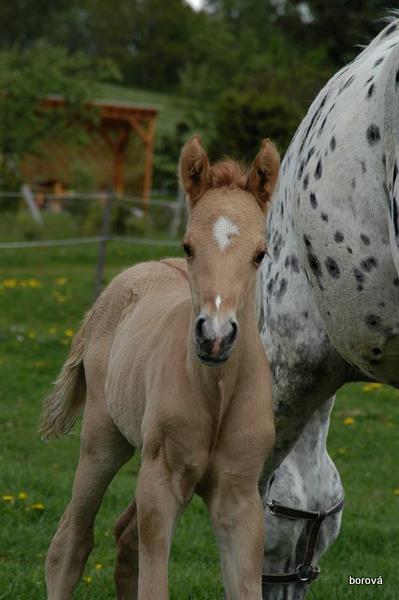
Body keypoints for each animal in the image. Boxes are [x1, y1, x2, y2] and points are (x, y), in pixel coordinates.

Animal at [42, 136, 280, 600]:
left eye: (260, 254)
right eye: (188, 246)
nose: (215, 337)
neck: (215, 394)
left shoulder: (240, 497)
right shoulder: (161, 481)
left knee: (124, 540)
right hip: (103, 440)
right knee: (71, 543)